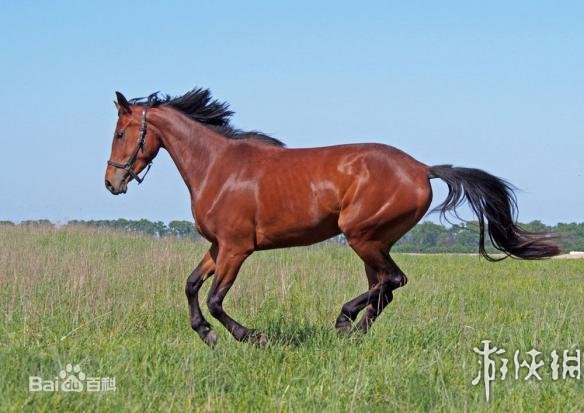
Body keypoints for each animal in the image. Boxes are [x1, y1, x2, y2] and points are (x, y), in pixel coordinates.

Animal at [106, 88, 560, 346]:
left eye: (120, 133)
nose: (112, 182)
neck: (218, 167)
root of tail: (421, 168)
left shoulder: (236, 249)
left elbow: (216, 300)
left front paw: (251, 337)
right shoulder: (218, 247)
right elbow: (190, 286)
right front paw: (206, 335)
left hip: (361, 235)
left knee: (392, 281)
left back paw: (344, 322)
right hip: (373, 242)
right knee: (384, 288)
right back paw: (354, 333)